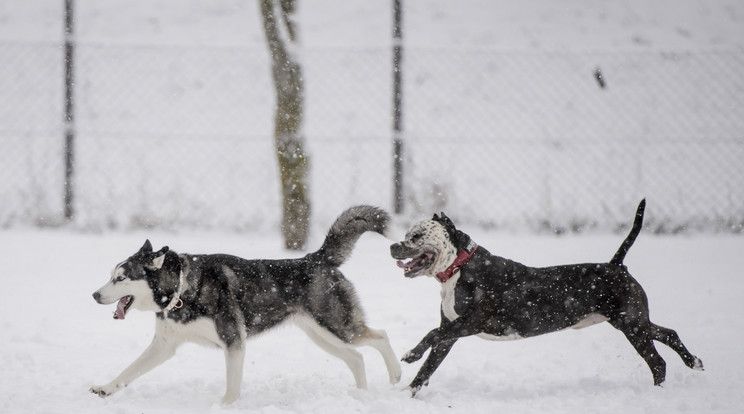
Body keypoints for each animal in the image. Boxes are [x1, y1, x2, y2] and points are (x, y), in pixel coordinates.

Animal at [390, 201, 704, 394]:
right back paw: (694, 362)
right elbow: (428, 367)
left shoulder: (473, 322)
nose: (393, 246)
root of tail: (616, 265)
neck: (461, 266)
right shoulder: (452, 332)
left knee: (657, 361)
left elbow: (431, 334)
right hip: (633, 321)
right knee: (669, 333)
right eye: (407, 234)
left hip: (632, 324)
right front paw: (407, 394)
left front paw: (410, 354)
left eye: (417, 236)